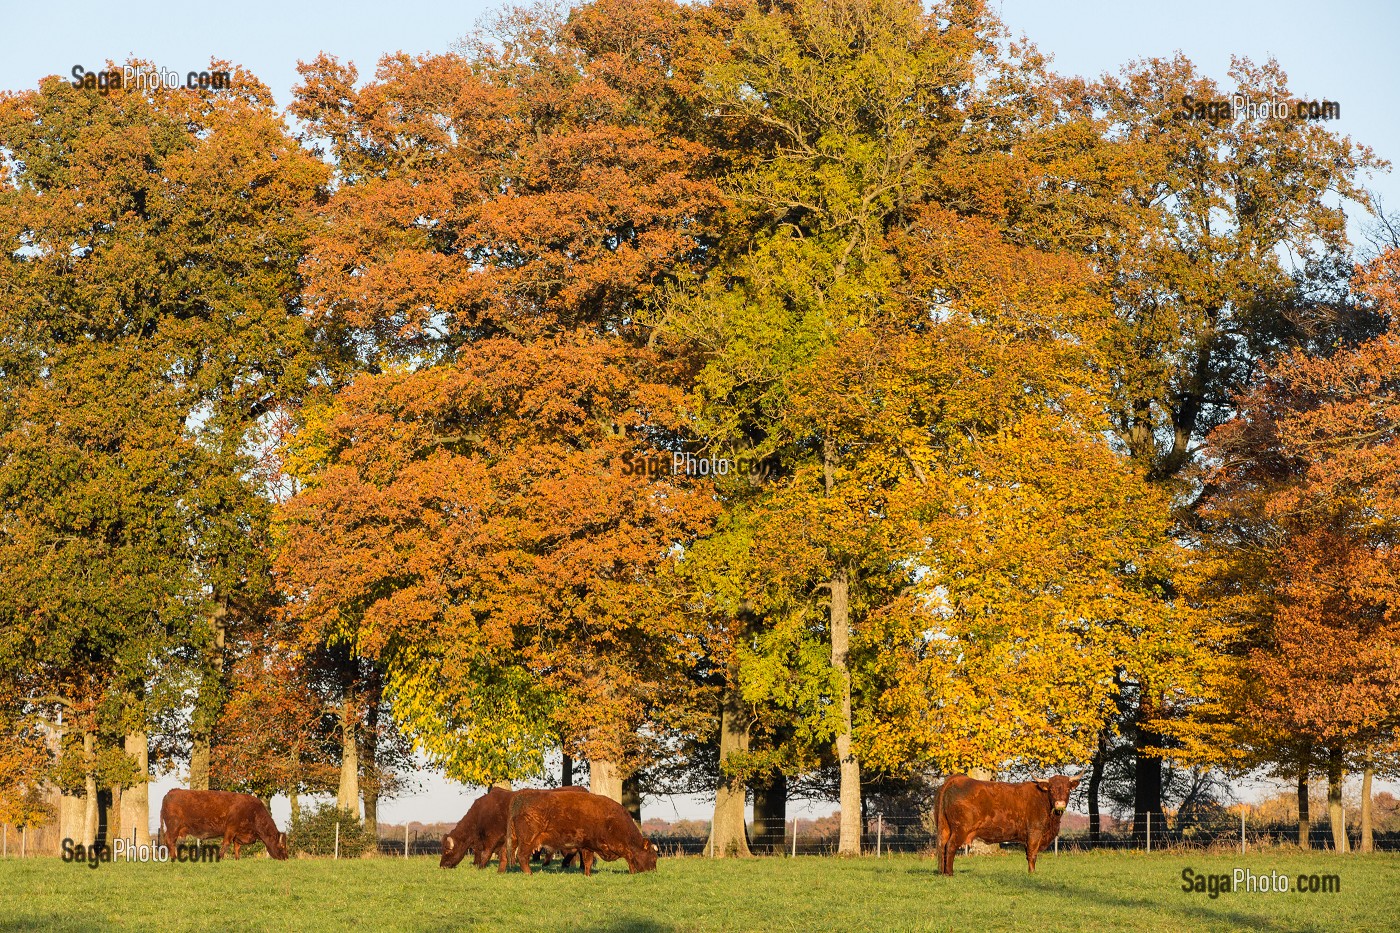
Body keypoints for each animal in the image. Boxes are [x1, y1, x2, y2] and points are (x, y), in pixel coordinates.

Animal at [159, 789, 288, 861]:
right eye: (282, 846)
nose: (286, 858)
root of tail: (171, 791)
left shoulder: (238, 834)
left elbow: (237, 847)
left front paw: (237, 859)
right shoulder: (231, 828)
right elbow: (226, 843)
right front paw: (219, 857)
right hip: (173, 826)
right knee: (170, 840)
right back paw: (174, 857)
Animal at [503, 789, 657, 876]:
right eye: (654, 858)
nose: (654, 873)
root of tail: (521, 797)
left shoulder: (587, 846)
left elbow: (588, 862)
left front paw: (587, 875)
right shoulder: (620, 847)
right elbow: (630, 859)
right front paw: (633, 873)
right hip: (528, 840)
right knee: (522, 856)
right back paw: (529, 873)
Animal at [935, 774, 1080, 875]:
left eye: (1068, 789)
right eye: (1051, 789)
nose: (1060, 804)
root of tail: (957, 779)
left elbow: (1028, 854)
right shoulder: (1035, 832)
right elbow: (1032, 854)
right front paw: (1032, 873)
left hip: (945, 828)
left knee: (942, 846)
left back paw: (942, 872)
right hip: (960, 829)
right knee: (950, 846)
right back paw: (950, 873)